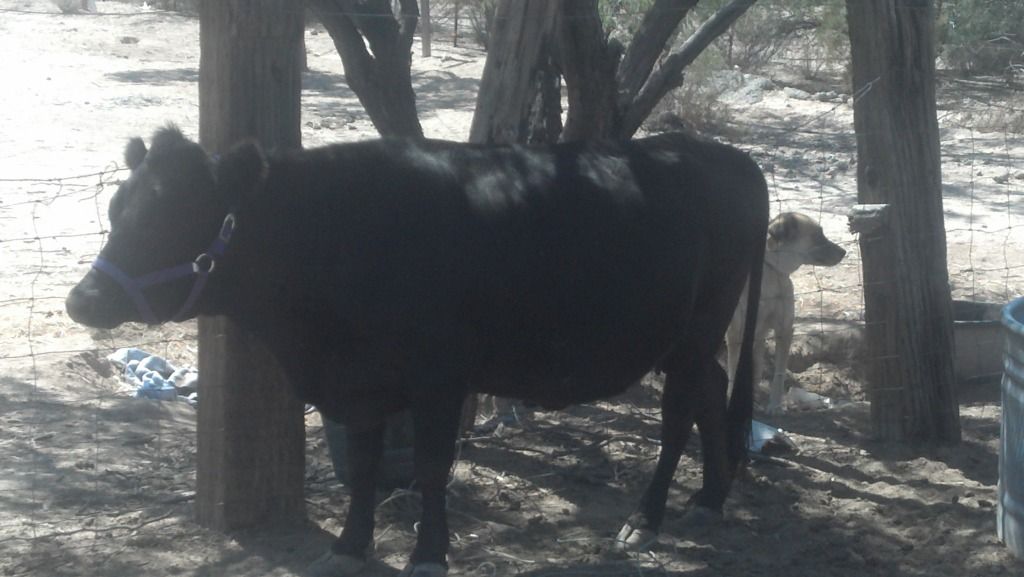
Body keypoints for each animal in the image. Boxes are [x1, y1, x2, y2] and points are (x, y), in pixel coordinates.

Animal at [66, 126, 768, 577]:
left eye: (171, 219)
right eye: (116, 209)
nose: (83, 300)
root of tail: (724, 154)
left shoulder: (439, 376)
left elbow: (430, 467)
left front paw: (430, 552)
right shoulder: (357, 382)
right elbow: (366, 466)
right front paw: (350, 546)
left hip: (697, 327)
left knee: (679, 414)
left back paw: (647, 518)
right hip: (687, 338)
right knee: (712, 392)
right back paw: (708, 500)